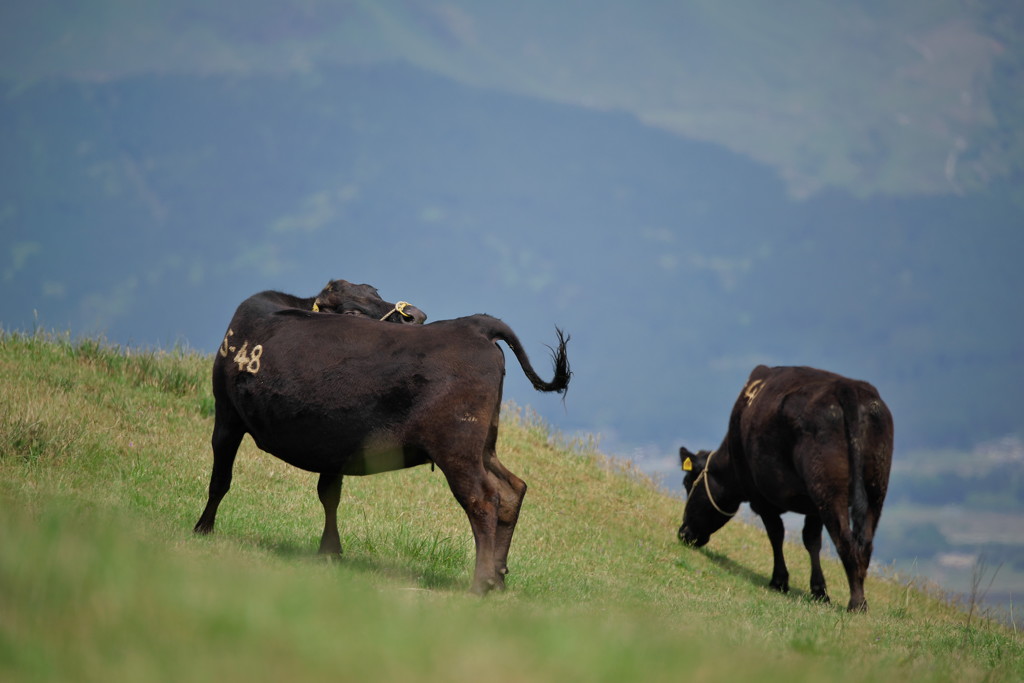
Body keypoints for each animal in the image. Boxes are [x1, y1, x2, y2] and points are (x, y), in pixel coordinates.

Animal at [194, 299, 573, 593]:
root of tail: (473, 325)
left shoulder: (226, 416)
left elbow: (220, 479)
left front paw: (202, 529)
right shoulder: (335, 446)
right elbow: (329, 495)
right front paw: (329, 552)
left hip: (457, 448)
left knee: (483, 499)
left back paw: (481, 583)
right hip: (484, 446)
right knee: (512, 488)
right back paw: (499, 577)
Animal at [679, 366, 888, 610]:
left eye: (687, 483)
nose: (683, 532)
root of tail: (847, 388)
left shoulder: (760, 497)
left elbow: (776, 534)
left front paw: (779, 581)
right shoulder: (812, 507)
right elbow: (811, 540)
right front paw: (819, 591)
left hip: (829, 490)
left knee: (845, 540)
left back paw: (856, 603)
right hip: (874, 489)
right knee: (865, 542)